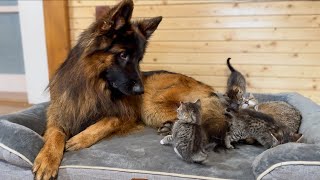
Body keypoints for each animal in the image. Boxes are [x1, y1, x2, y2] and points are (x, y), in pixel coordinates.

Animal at [33, 0, 228, 179]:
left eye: (139, 59)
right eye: (123, 55)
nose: (141, 91)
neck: (95, 87)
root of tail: (208, 88)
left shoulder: (127, 115)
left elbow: (107, 121)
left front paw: (80, 139)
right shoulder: (61, 114)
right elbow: (55, 134)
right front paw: (47, 158)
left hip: (152, 106)